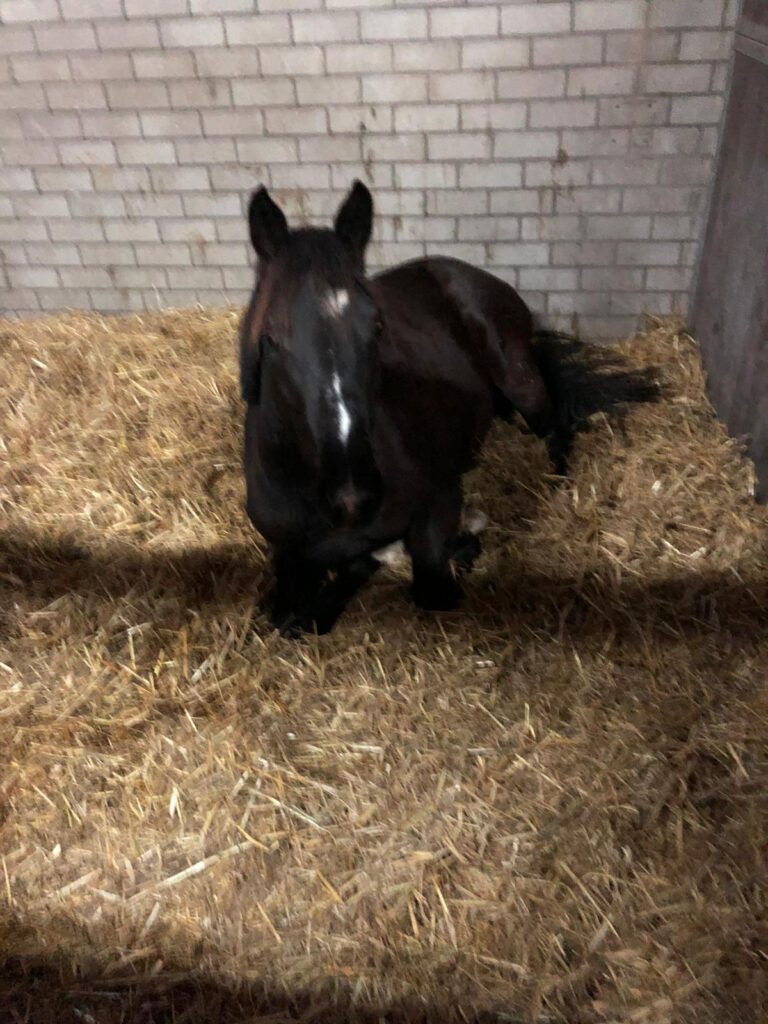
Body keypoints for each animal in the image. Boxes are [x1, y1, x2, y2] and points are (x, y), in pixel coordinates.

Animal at [239, 180, 655, 634]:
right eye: (272, 336)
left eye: (378, 325)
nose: (352, 496)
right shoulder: (286, 554)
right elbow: (287, 615)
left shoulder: (439, 501)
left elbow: (429, 588)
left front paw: (463, 544)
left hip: (518, 377)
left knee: (555, 430)